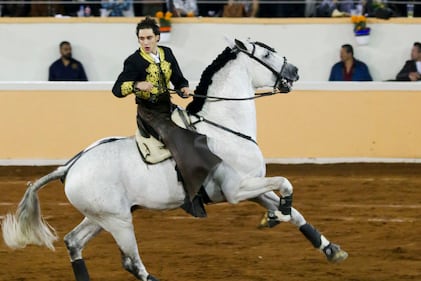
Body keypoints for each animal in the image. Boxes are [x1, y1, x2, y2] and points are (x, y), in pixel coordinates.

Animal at [1, 37, 346, 280]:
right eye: (266, 55)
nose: (295, 71)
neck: (225, 127)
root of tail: (70, 166)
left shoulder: (253, 186)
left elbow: (295, 212)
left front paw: (329, 248)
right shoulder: (238, 190)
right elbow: (287, 184)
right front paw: (276, 216)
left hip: (101, 216)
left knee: (74, 242)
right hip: (118, 221)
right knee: (131, 262)